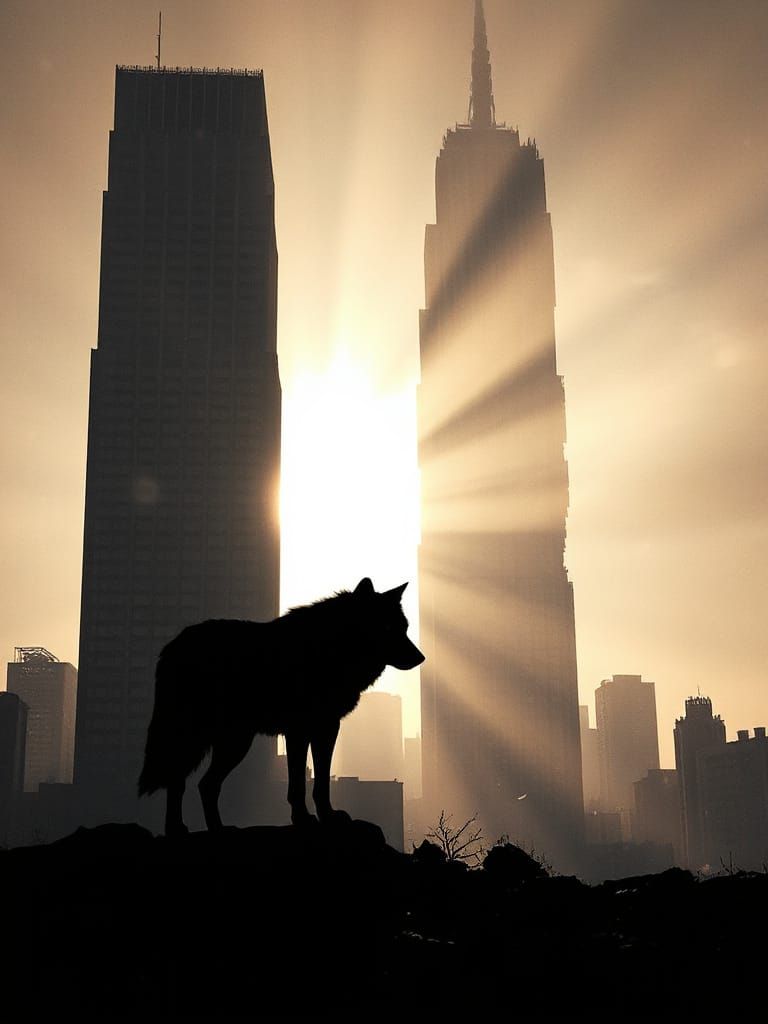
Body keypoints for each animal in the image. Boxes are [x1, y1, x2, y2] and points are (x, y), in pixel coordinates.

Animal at [138, 578, 424, 836]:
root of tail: (173, 646)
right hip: (216, 740)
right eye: (387, 627)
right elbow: (298, 784)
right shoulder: (299, 730)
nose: (421, 658)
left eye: (404, 627)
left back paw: (213, 828)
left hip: (232, 742)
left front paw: (327, 817)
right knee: (185, 780)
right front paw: (304, 819)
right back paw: (182, 829)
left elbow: (321, 781)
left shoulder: (326, 728)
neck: (329, 648)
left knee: (202, 784)